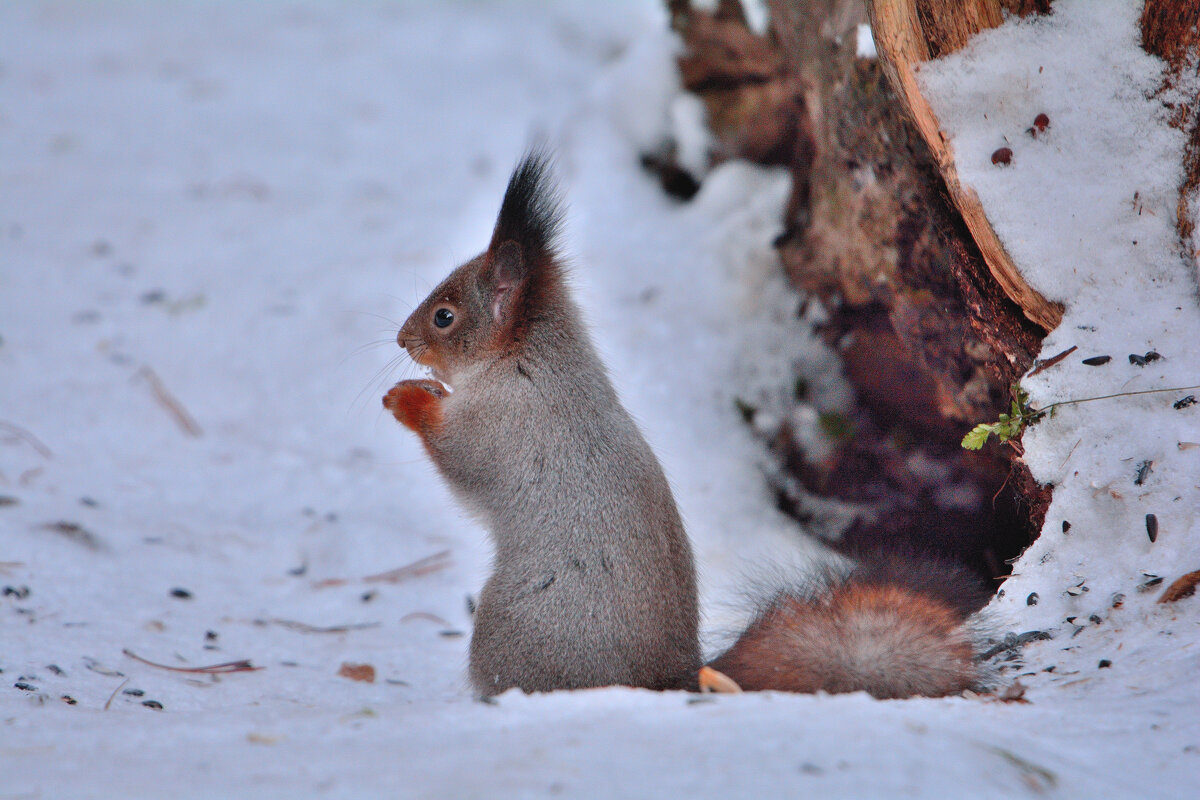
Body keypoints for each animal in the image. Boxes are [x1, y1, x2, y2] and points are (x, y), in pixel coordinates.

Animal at [381, 151, 984, 700]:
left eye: (444, 317)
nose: (401, 340)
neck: (526, 359)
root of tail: (665, 683)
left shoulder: (505, 422)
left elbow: (460, 458)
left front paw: (407, 399)